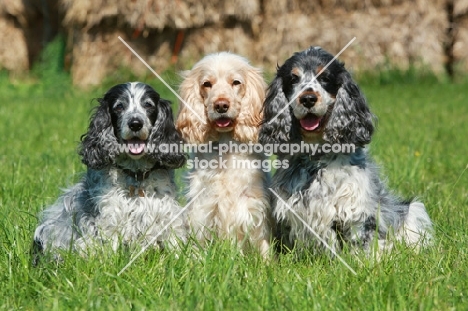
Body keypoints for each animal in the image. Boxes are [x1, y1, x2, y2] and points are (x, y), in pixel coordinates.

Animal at [33, 81, 187, 260]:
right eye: (119, 106)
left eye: (148, 105)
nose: (135, 123)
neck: (135, 176)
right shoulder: (111, 216)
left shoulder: (165, 212)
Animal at [258, 47, 434, 256]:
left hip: (412, 210)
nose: (308, 98)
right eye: (293, 78)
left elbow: (361, 244)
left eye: (325, 77)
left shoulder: (356, 211)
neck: (315, 159)